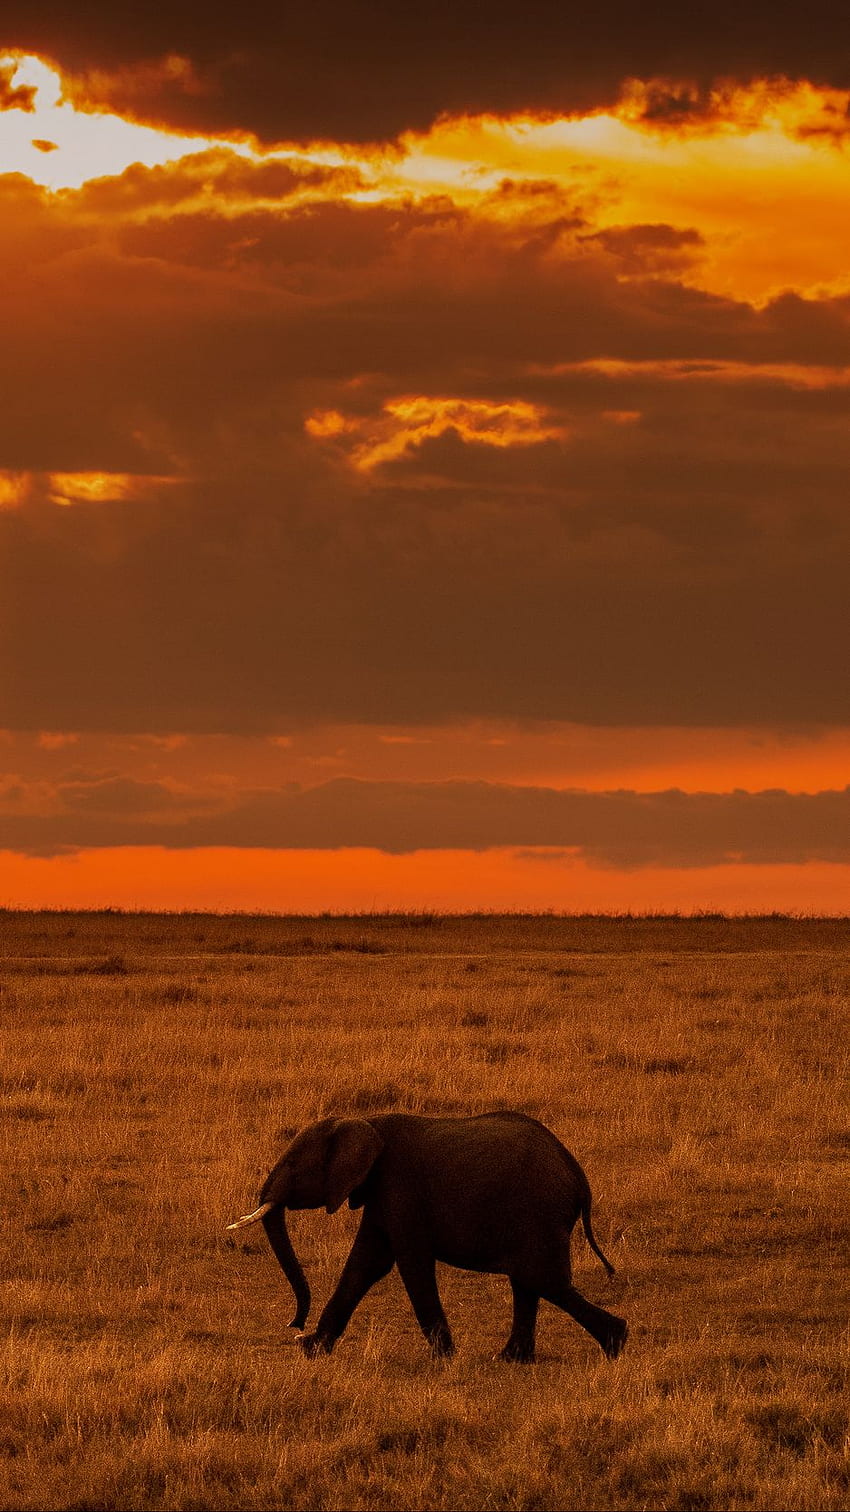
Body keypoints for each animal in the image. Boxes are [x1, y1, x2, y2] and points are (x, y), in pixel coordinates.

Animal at [225, 1112, 623, 1360]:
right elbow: (364, 1265)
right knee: (528, 1283)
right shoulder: (380, 1194)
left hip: (540, 1214)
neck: (365, 1121)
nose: (294, 1326)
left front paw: (443, 1357)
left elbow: (409, 1264)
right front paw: (313, 1349)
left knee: (542, 1281)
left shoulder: (400, 1187)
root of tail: (579, 1178)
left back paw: (616, 1341)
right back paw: (510, 1358)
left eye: (293, 1166)